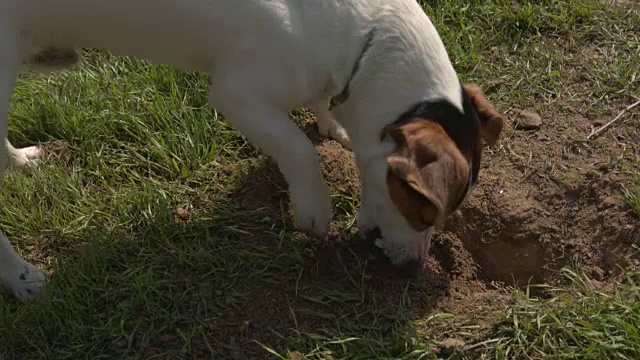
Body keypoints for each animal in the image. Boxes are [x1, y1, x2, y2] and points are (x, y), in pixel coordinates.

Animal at [0, 0, 502, 298]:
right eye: (422, 210)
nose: (415, 269)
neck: (365, 37)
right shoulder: (237, 93)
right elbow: (298, 149)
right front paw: (314, 209)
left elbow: (320, 104)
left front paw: (332, 124)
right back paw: (23, 277)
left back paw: (20, 161)